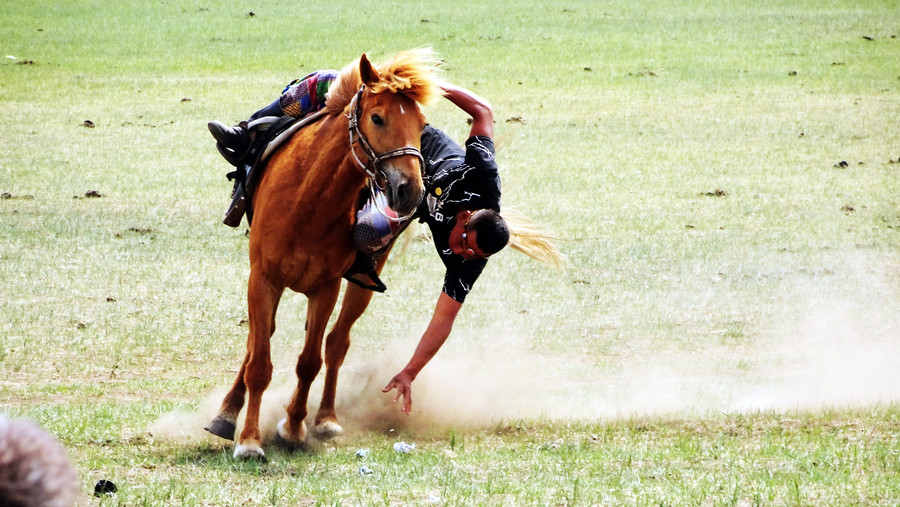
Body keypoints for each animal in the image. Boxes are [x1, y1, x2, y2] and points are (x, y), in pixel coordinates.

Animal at [205, 48, 442, 460]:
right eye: (377, 118)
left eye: (421, 124)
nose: (410, 190)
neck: (309, 199)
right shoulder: (263, 278)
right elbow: (259, 361)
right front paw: (248, 439)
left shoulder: (326, 287)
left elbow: (310, 362)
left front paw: (294, 426)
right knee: (259, 341)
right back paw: (227, 413)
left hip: (361, 283)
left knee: (335, 344)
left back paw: (326, 418)